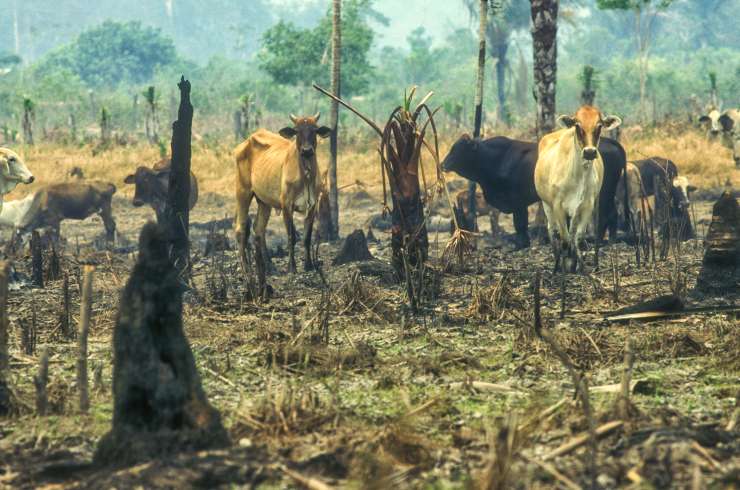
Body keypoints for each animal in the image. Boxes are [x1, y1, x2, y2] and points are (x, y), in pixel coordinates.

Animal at [236, 114, 330, 298]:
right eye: (297, 131)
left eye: (314, 130)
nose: (307, 150)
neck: (306, 174)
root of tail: (246, 142)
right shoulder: (286, 205)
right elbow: (292, 237)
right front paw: (291, 267)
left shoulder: (313, 206)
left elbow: (307, 237)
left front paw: (309, 265)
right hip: (242, 192)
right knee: (241, 229)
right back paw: (245, 269)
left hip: (264, 202)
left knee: (258, 229)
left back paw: (270, 267)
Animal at [442, 134, 628, 249]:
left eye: (458, 149)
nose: (443, 164)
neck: (496, 158)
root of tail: (610, 142)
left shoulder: (517, 200)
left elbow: (520, 223)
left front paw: (520, 244)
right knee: (612, 213)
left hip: (603, 191)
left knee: (605, 213)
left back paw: (600, 240)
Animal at [536, 105, 620, 272]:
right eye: (577, 125)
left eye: (599, 126)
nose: (589, 152)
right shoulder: (557, 206)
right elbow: (564, 239)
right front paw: (565, 266)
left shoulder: (587, 205)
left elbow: (579, 237)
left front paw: (579, 266)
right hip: (546, 204)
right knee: (552, 231)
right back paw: (557, 265)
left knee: (577, 232)